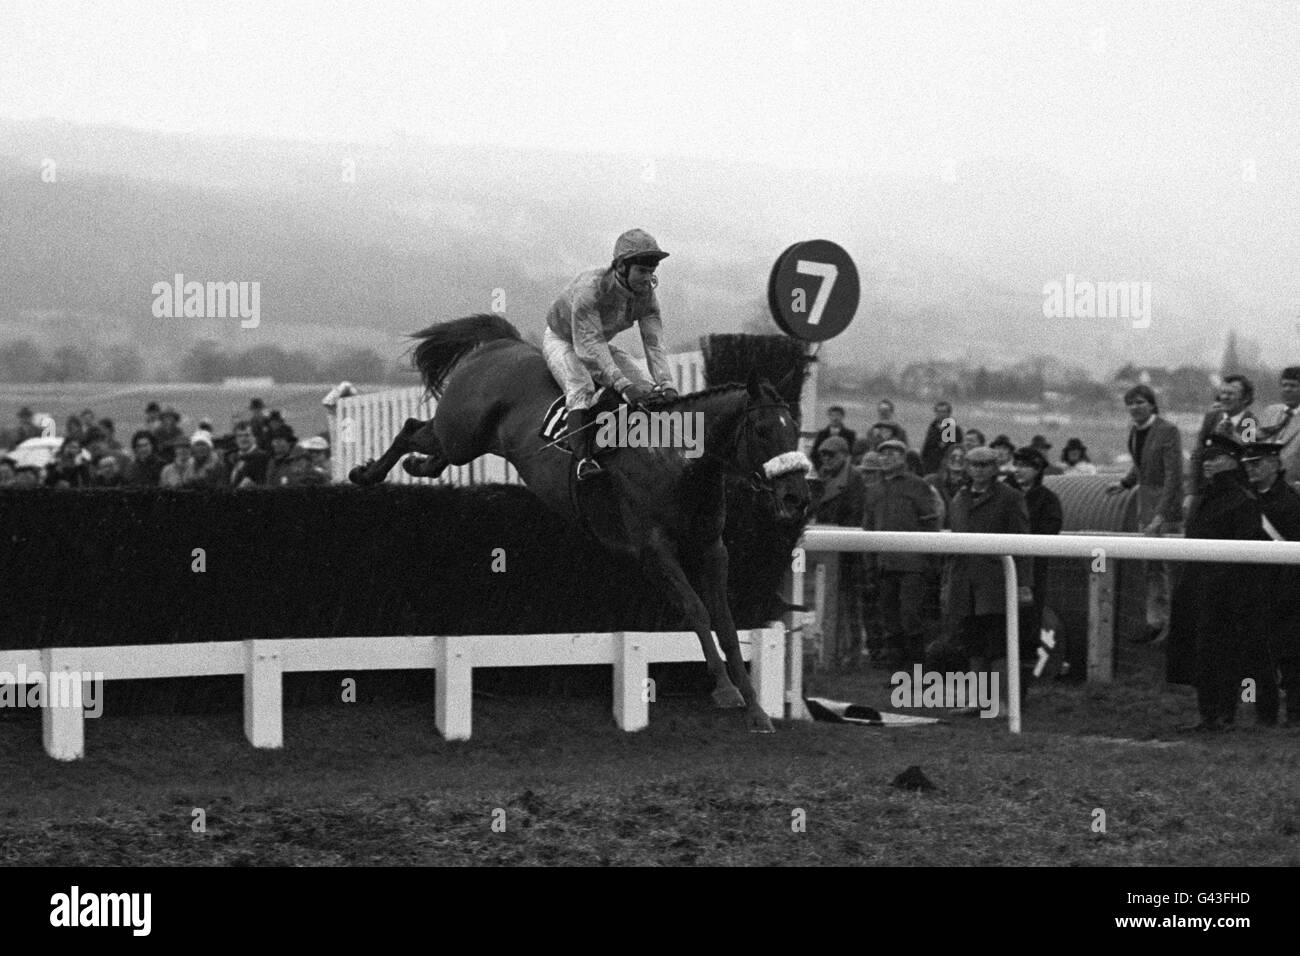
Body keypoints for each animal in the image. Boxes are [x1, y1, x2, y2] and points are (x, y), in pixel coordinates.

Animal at [351, 314, 806, 733]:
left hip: (465, 442)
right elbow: (696, 610)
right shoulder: (652, 548)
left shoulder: (712, 547)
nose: (795, 495)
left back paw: (414, 466)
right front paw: (726, 691)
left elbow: (727, 624)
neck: (676, 461)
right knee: (411, 429)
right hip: (462, 433)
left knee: (430, 450)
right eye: (762, 429)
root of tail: (502, 344)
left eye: (795, 429)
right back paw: (367, 474)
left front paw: (757, 710)